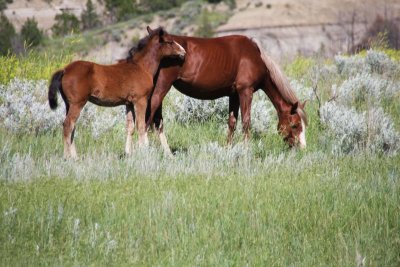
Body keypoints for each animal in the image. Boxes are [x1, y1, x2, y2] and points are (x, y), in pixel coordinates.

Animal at [48, 26, 184, 159]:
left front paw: (128, 153)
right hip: (77, 103)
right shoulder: (140, 100)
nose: (183, 52)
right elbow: (141, 126)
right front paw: (143, 152)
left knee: (72, 127)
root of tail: (64, 70)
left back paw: (75, 156)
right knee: (68, 125)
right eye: (169, 41)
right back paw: (67, 157)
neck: (141, 67)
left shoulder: (129, 103)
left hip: (69, 104)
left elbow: (130, 127)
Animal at [145, 27, 308, 150]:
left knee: (157, 120)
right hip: (161, 89)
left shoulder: (234, 95)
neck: (254, 57)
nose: (302, 148)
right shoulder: (245, 91)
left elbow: (232, 122)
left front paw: (228, 149)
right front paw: (246, 150)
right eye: (295, 125)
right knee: (149, 117)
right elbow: (246, 121)